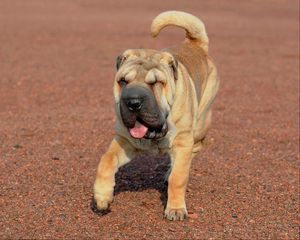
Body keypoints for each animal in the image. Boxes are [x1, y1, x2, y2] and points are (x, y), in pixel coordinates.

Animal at [92, 11, 219, 221]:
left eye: (156, 83)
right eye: (123, 81)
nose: (133, 102)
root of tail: (194, 44)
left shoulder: (182, 141)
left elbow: (179, 177)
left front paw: (175, 209)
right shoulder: (124, 141)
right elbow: (106, 161)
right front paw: (102, 196)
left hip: (200, 125)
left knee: (192, 151)